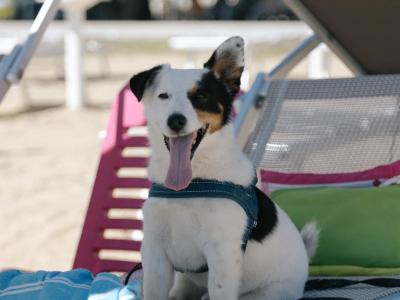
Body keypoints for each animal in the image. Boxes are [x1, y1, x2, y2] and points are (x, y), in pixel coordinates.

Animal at [130, 37, 318, 300]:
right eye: (163, 96)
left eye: (201, 96)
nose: (175, 120)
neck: (191, 185)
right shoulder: (154, 250)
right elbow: (153, 292)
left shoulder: (223, 254)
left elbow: (220, 291)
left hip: (267, 293)